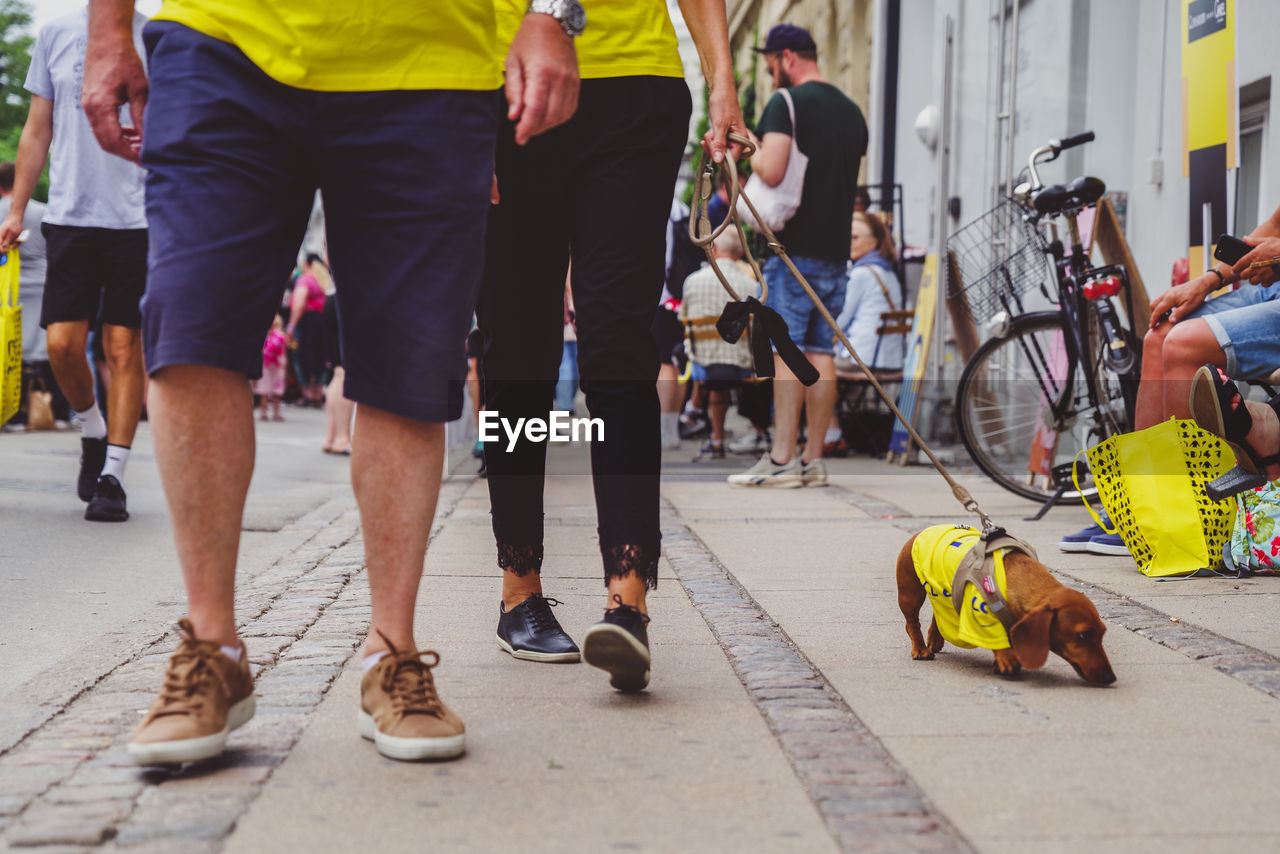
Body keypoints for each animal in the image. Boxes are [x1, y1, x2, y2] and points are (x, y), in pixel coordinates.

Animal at [896, 527, 1116, 686]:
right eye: (1083, 635)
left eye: (1103, 633)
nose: (1110, 678)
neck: (1016, 576)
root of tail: (922, 532)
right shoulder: (979, 617)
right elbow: (997, 641)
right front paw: (1006, 659)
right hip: (910, 594)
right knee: (911, 623)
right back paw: (920, 649)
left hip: (944, 594)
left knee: (938, 613)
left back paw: (935, 639)